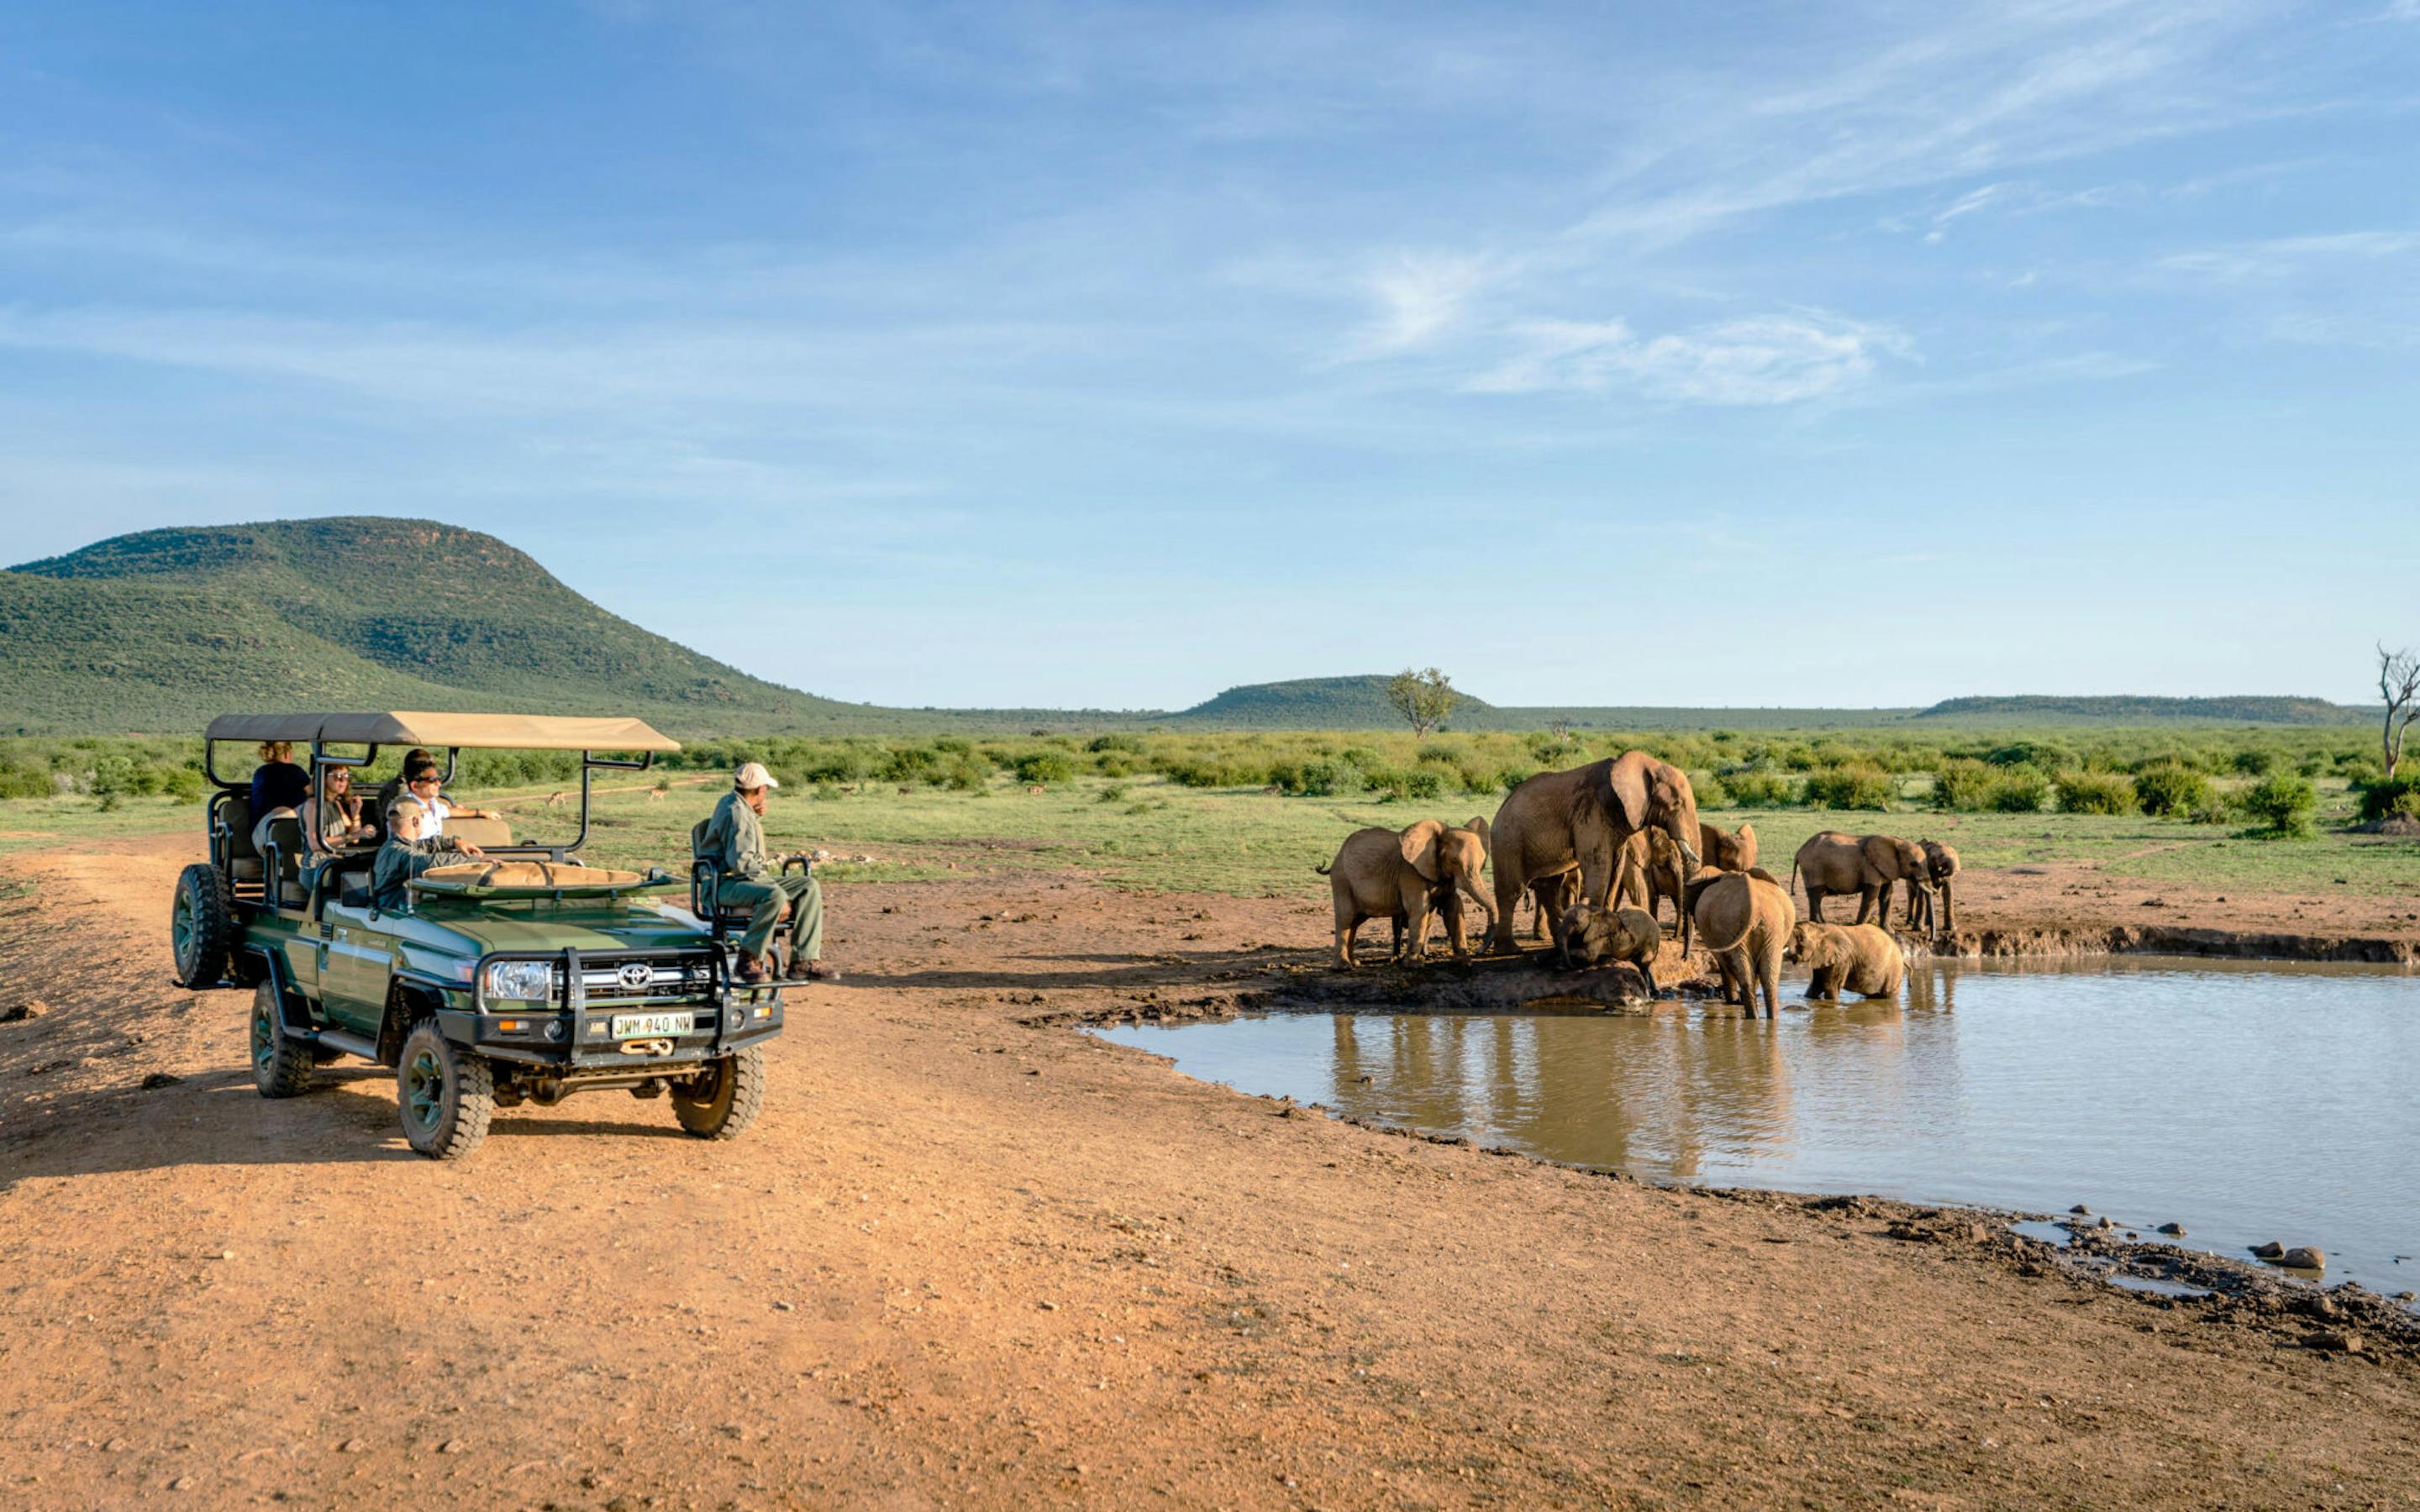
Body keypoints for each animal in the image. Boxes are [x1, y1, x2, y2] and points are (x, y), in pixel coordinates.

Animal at [1317, 817, 1497, 967]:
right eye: (1454, 862)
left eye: (1482, 863)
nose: (1479, 951)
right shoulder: (1409, 873)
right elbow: (1419, 910)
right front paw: (1414, 965)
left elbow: (1454, 908)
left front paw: (1465, 962)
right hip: (1342, 880)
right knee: (1346, 918)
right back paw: (1343, 967)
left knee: (1354, 922)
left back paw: (1355, 963)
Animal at [1487, 753, 1702, 958]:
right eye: (1677, 803)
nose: (1683, 955)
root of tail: (1501, 808)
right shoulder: (1592, 812)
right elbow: (1599, 864)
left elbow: (1615, 869)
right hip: (1508, 842)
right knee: (1512, 891)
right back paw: (1510, 951)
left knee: (1549, 888)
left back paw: (1558, 943)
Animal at [1690, 869, 1795, 1018]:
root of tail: (1753, 906)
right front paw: (1735, 1002)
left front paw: (1734, 1002)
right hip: (1769, 928)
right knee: (1766, 975)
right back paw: (1764, 1017)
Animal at [1784, 921, 1906, 1001]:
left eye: (1801, 939)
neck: (1820, 928)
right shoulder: (1822, 958)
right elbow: (1816, 984)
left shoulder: (1842, 960)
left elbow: (1830, 986)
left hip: (1894, 970)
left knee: (1888, 994)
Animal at [1790, 831, 1931, 927]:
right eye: (1913, 864)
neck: (1896, 841)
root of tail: (1800, 851)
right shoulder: (1870, 867)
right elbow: (1871, 895)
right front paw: (1860, 927)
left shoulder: (1886, 869)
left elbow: (1886, 894)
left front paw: (1888, 932)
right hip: (1813, 869)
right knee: (1816, 894)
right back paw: (1822, 923)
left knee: (1814, 896)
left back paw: (1816, 923)